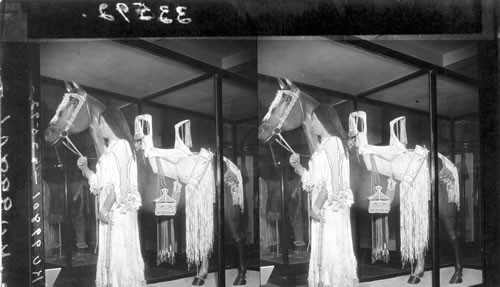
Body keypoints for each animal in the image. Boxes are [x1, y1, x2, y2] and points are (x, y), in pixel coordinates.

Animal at [44, 81, 247, 287]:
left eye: (72, 102)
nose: (48, 133)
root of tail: (226, 163)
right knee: (207, 238)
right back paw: (201, 276)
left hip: (228, 211)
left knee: (238, 238)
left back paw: (240, 276)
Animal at [258, 77, 464, 284]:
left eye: (285, 99)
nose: (262, 130)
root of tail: (442, 160)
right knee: (421, 234)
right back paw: (417, 274)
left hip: (444, 208)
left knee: (454, 235)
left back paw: (457, 274)